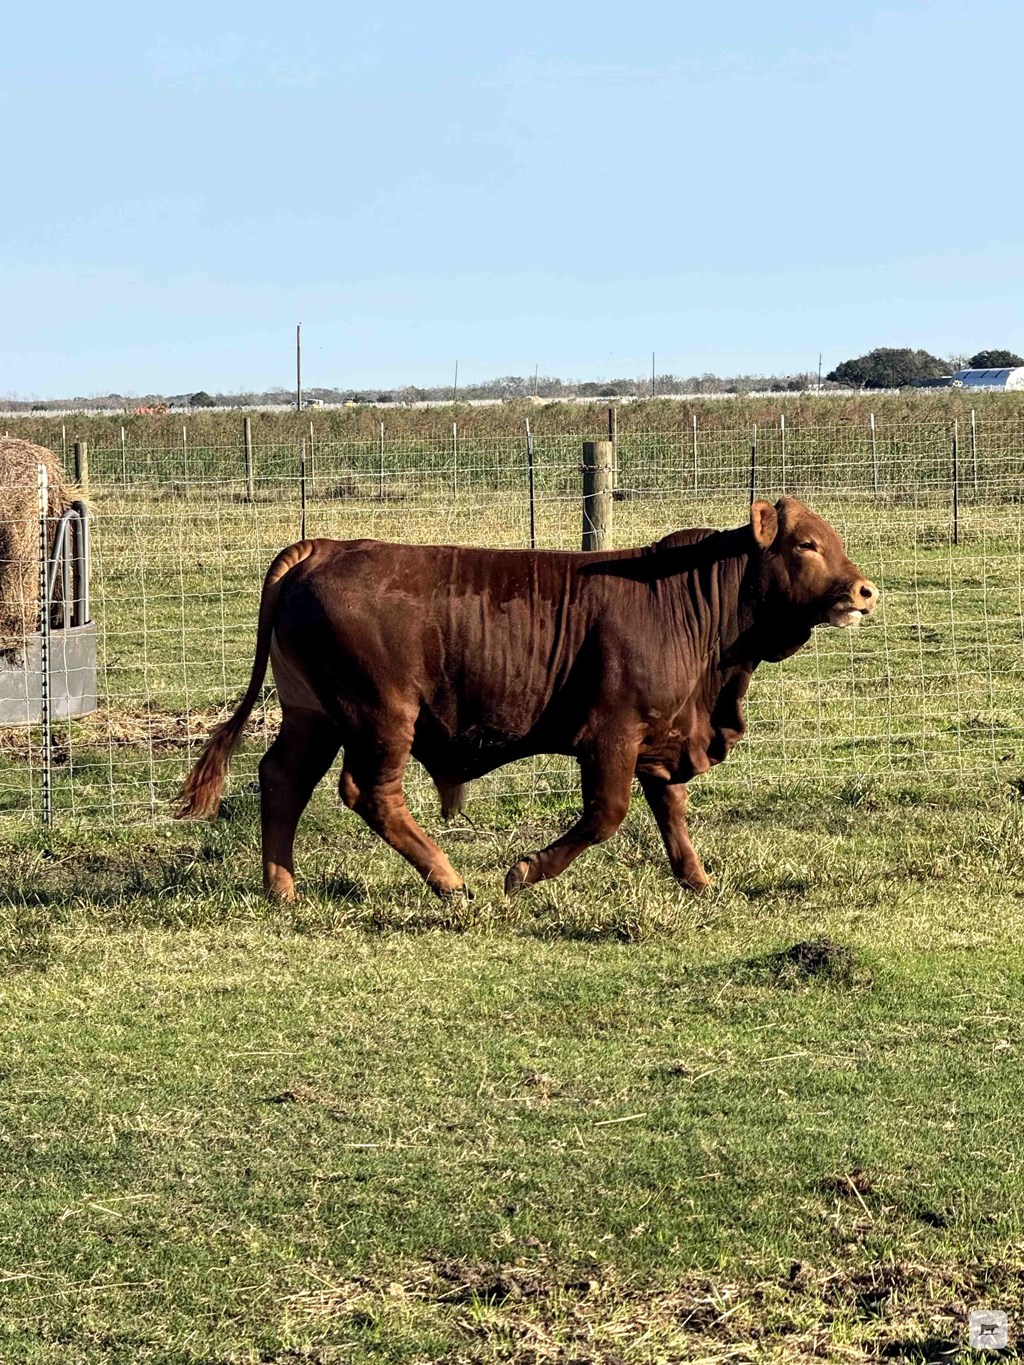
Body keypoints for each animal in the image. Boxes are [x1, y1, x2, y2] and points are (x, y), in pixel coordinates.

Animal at [178, 496, 884, 900]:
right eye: (806, 544)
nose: (864, 591)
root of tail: (323, 547)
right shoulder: (611, 737)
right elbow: (606, 816)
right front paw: (524, 871)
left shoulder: (662, 737)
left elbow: (673, 813)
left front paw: (699, 880)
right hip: (380, 716)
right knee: (368, 793)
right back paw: (448, 879)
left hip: (312, 715)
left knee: (282, 779)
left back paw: (282, 888)